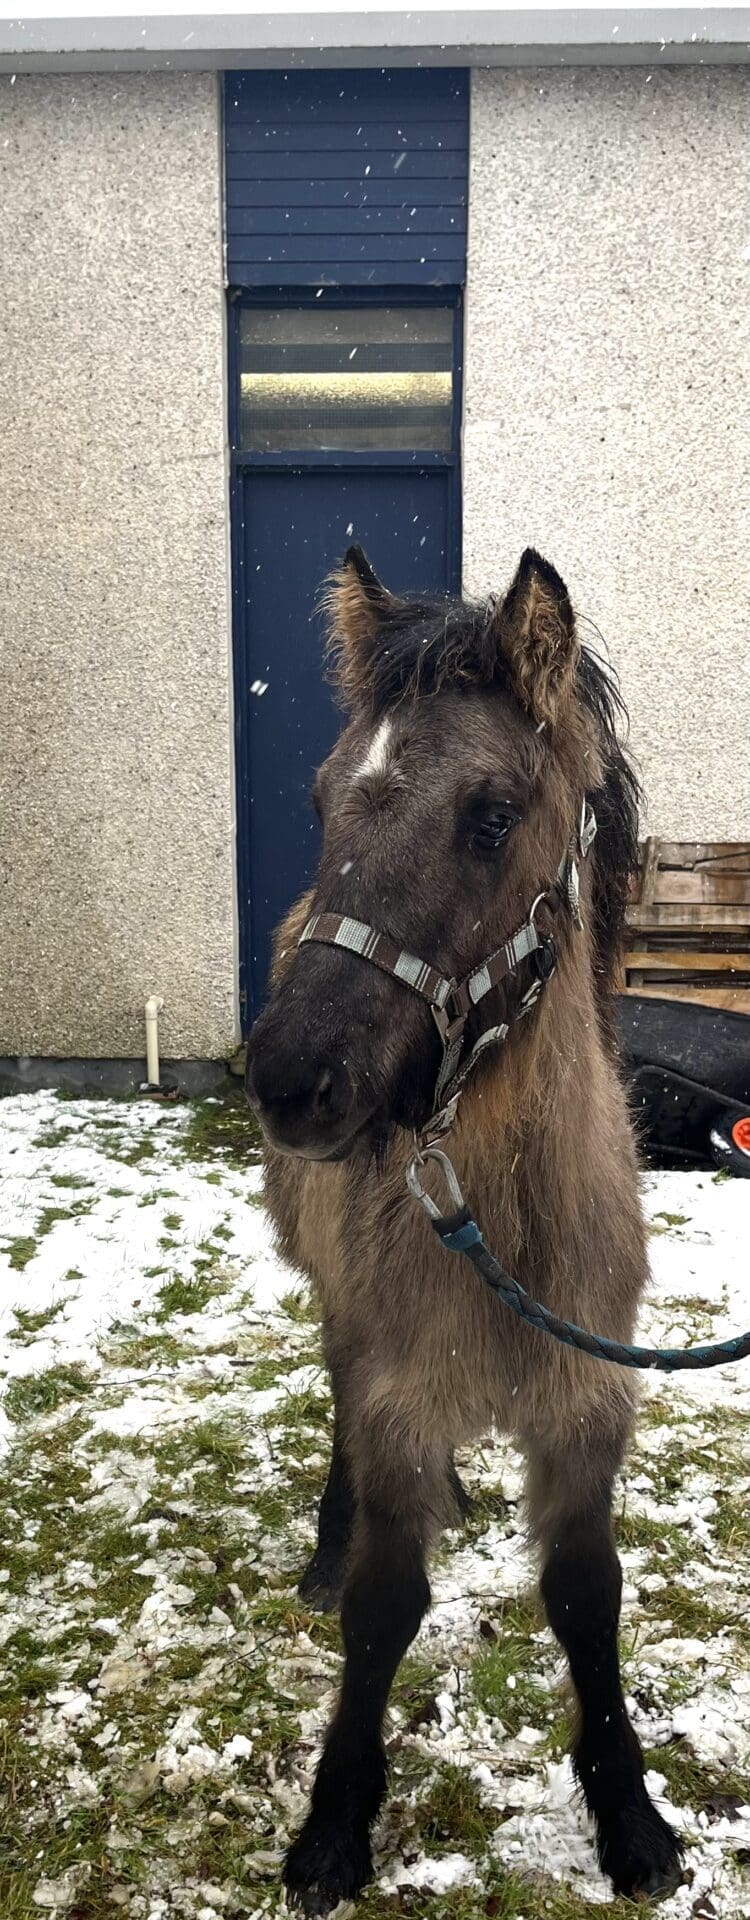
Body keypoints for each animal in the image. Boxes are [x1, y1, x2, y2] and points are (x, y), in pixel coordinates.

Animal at [246, 544, 684, 1914]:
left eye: (491, 816)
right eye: (325, 802)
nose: (291, 1080)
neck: (502, 1234)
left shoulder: (586, 1406)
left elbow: (588, 1597)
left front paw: (629, 1817)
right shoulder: (396, 1394)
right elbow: (385, 1604)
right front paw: (334, 1824)